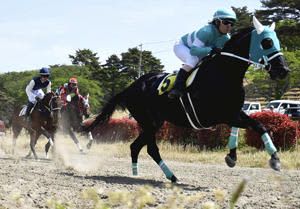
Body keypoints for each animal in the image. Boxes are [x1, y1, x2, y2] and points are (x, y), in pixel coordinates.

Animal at [85, 17, 290, 182]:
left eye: (277, 41)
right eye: (266, 42)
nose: (283, 70)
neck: (225, 72)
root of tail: (130, 87)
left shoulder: (234, 111)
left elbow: (244, 127)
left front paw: (232, 156)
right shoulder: (219, 115)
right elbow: (258, 125)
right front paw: (274, 159)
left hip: (155, 122)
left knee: (136, 147)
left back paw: (139, 174)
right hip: (148, 122)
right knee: (151, 149)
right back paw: (171, 177)